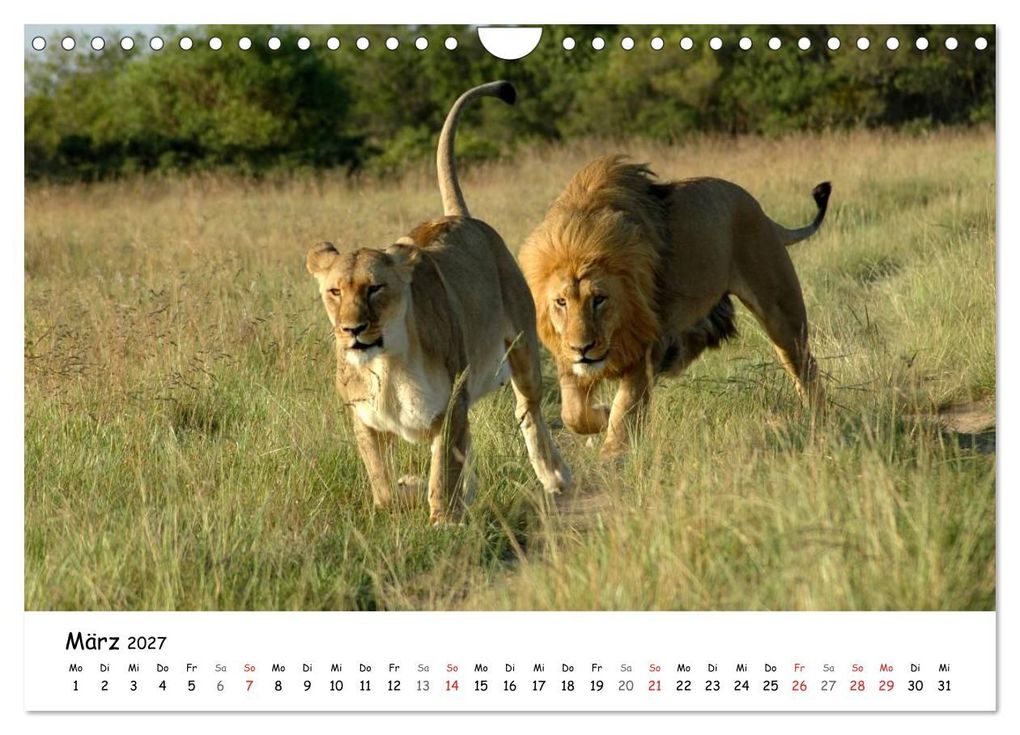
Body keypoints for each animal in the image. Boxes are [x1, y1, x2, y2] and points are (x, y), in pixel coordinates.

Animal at [306, 81, 571, 524]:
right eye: (335, 292)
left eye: (375, 288)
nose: (352, 330)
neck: (387, 363)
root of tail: (460, 217)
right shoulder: (365, 419)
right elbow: (381, 479)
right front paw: (399, 500)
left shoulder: (449, 407)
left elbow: (441, 470)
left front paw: (442, 520)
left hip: (523, 352)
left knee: (529, 412)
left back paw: (554, 477)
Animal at [518, 155, 831, 455]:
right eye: (561, 302)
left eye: (599, 299)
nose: (582, 348)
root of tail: (763, 214)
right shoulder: (568, 354)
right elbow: (573, 413)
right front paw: (601, 417)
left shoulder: (646, 347)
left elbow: (626, 407)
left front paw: (612, 452)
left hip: (781, 312)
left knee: (804, 366)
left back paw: (819, 420)